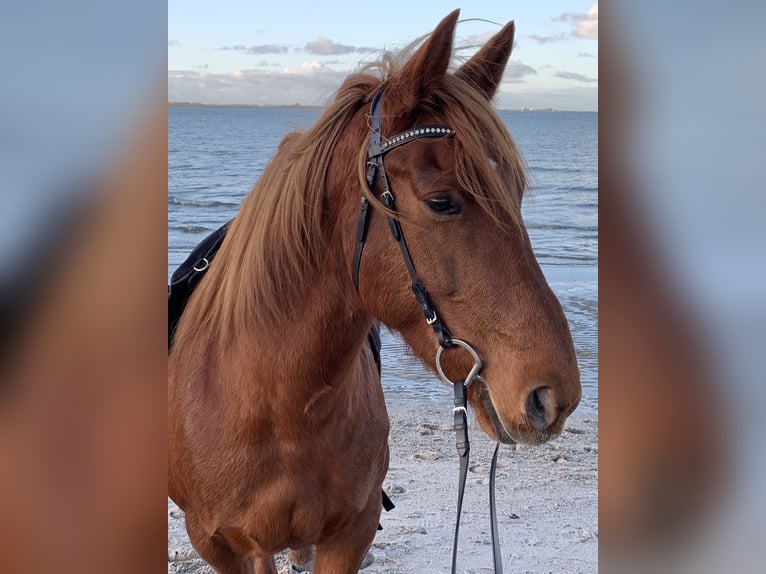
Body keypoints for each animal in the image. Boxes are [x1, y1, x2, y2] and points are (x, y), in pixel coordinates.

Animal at [170, 10, 584, 574]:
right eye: (440, 202)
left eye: (516, 195)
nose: (556, 396)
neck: (278, 411)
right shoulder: (221, 546)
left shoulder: (352, 533)